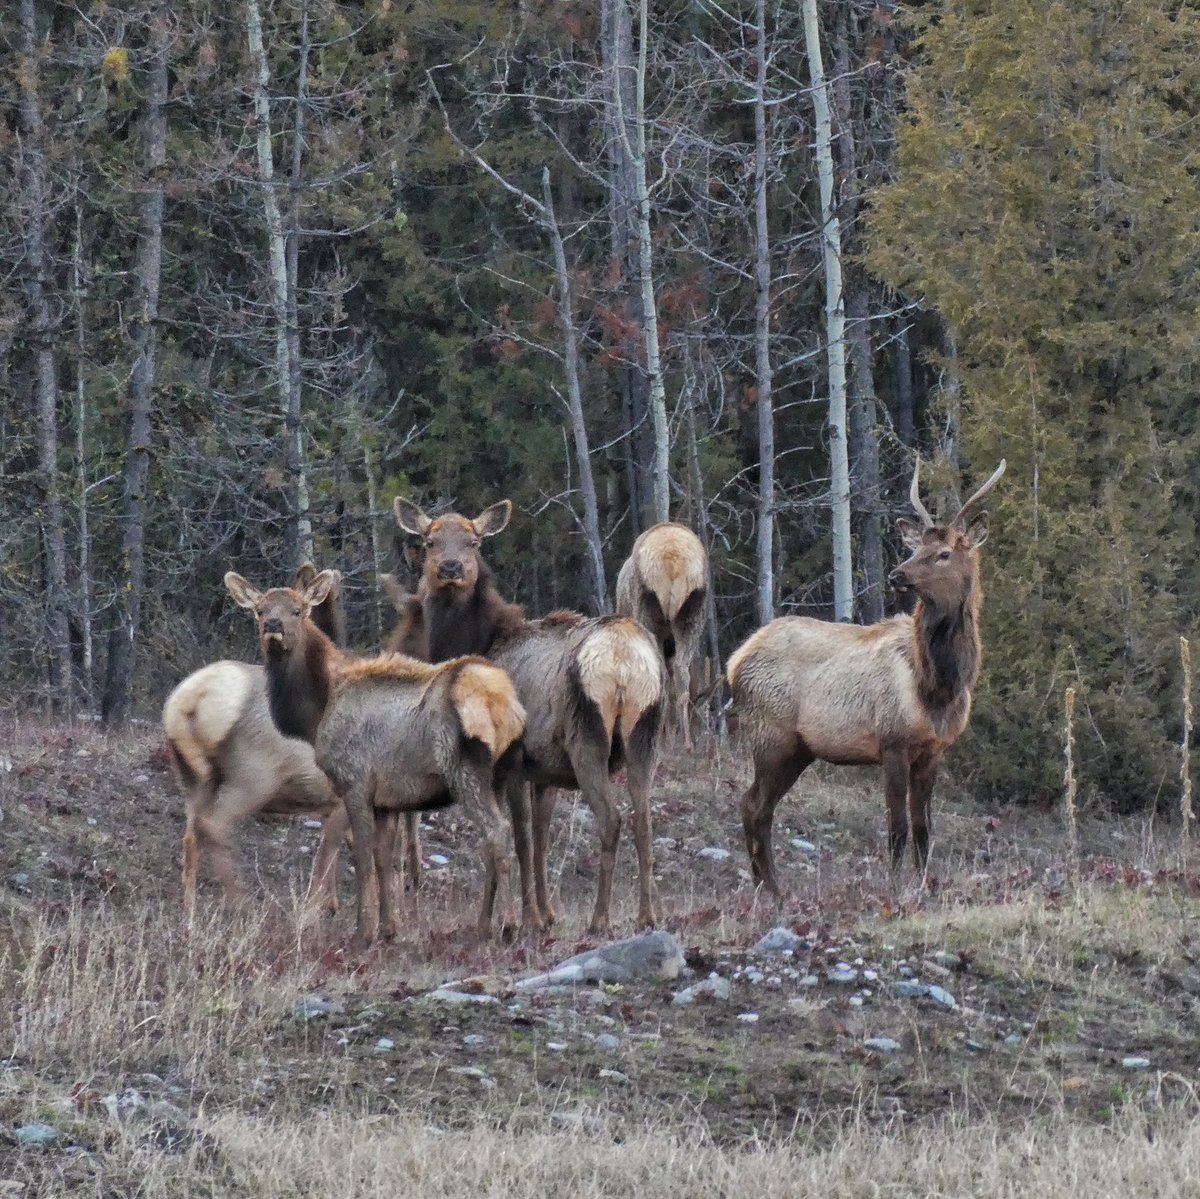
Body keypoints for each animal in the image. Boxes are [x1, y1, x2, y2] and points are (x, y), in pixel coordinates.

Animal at [164, 564, 354, 915]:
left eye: (298, 609)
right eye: (260, 610)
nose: (273, 625)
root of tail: (189, 701)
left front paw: (330, 905)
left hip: (193, 775)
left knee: (192, 834)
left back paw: (191, 911)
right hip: (254, 775)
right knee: (216, 826)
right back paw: (242, 905)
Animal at [224, 568, 526, 948]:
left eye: (298, 610)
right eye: (260, 610)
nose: (273, 626)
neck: (316, 712)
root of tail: (500, 701)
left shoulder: (354, 782)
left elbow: (363, 856)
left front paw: (363, 931)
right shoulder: (389, 798)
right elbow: (385, 858)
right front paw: (389, 928)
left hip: (465, 771)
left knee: (497, 832)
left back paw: (509, 925)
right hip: (502, 774)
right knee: (491, 840)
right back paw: (484, 924)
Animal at [391, 498, 667, 935]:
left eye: (473, 542)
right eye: (430, 540)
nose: (451, 568)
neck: (482, 639)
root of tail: (624, 660)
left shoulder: (513, 763)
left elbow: (515, 838)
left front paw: (519, 919)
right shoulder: (545, 771)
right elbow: (540, 838)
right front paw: (546, 913)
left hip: (587, 738)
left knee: (612, 820)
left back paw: (599, 919)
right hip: (646, 733)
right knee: (644, 821)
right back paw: (646, 915)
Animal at [615, 522, 709, 749]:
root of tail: (673, 562)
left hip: (648, 611)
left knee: (662, 677)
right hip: (692, 612)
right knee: (681, 675)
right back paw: (685, 743)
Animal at [727, 457, 1006, 896]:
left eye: (944, 553)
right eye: (916, 548)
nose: (896, 574)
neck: (936, 689)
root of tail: (734, 661)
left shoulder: (934, 751)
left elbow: (924, 829)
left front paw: (923, 884)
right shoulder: (891, 742)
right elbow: (897, 827)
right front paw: (894, 886)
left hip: (799, 749)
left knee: (757, 805)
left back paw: (767, 887)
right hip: (771, 735)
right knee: (753, 804)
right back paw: (771, 888)